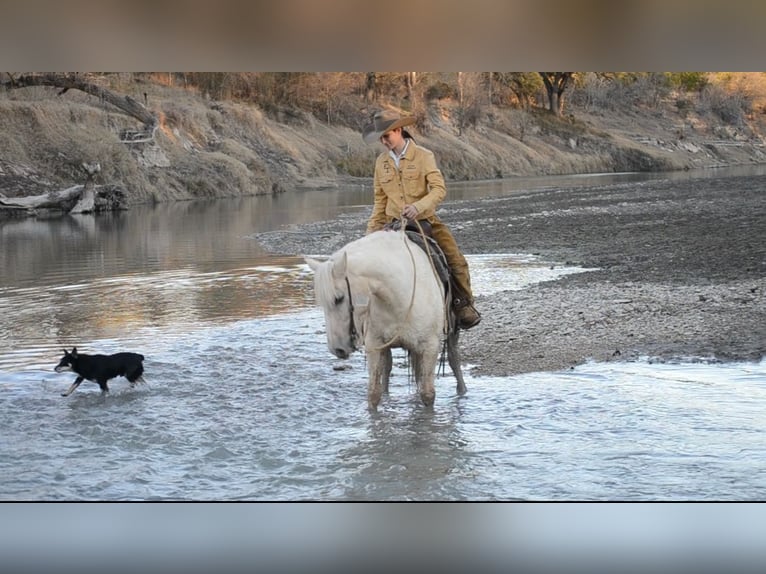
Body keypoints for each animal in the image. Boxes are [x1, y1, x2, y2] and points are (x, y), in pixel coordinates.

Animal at [308, 227, 468, 412]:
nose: (337, 349)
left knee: (453, 357)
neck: (400, 295)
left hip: (452, 329)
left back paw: (462, 391)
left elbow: (428, 394)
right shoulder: (375, 345)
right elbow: (374, 393)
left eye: (339, 298)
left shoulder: (430, 347)